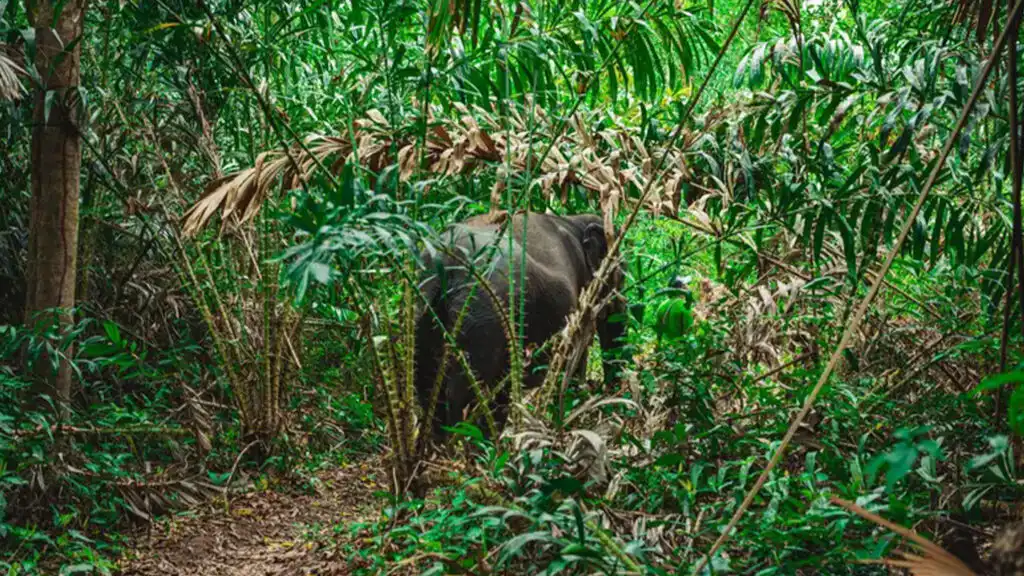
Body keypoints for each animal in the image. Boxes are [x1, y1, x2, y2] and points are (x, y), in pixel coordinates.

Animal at [413, 212, 628, 442]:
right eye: (622, 275)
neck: (573, 220)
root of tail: (446, 261)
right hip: (484, 316)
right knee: (470, 393)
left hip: (423, 311)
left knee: (428, 386)